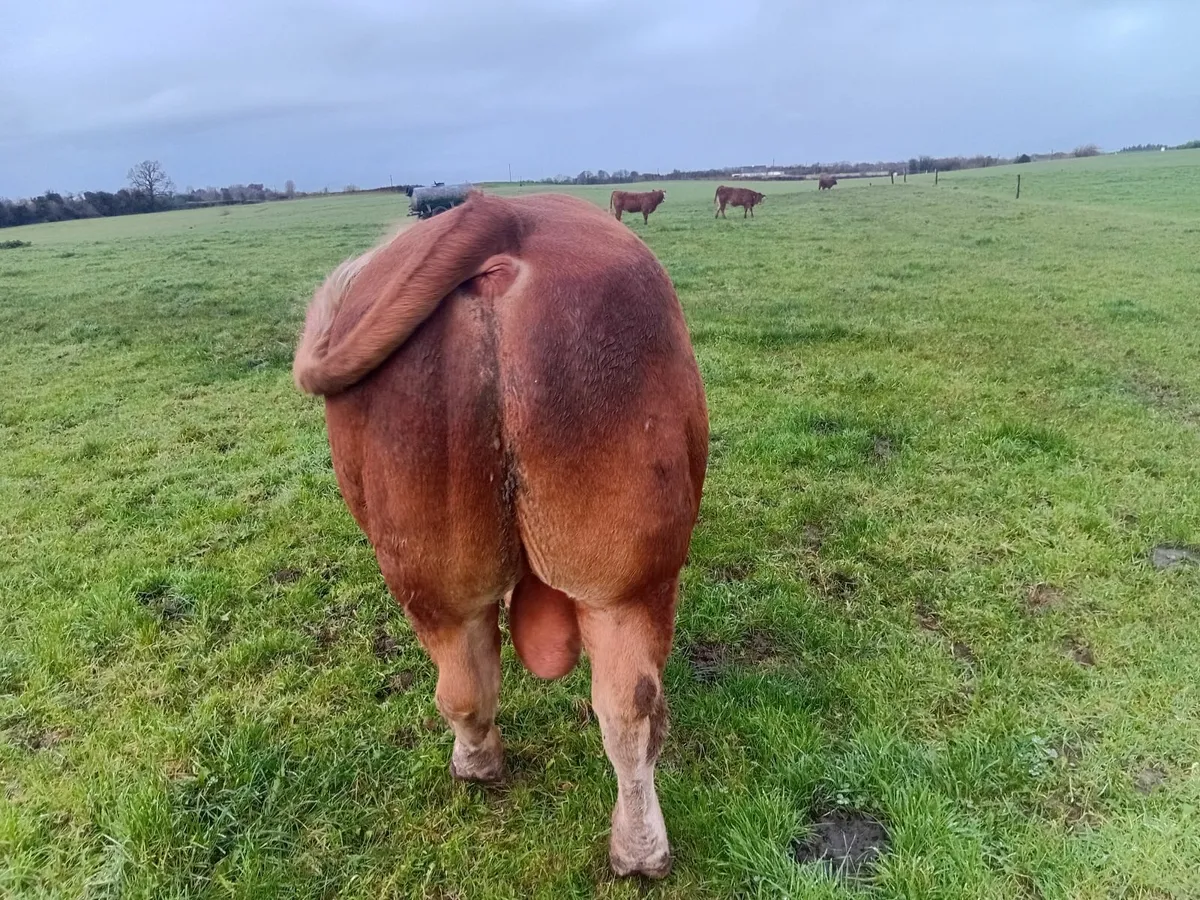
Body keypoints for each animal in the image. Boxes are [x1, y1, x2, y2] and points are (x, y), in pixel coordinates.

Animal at [293, 191, 708, 879]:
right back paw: (639, 849)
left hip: (440, 573)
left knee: (468, 682)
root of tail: (502, 214)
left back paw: (487, 771)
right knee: (630, 711)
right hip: (629, 582)